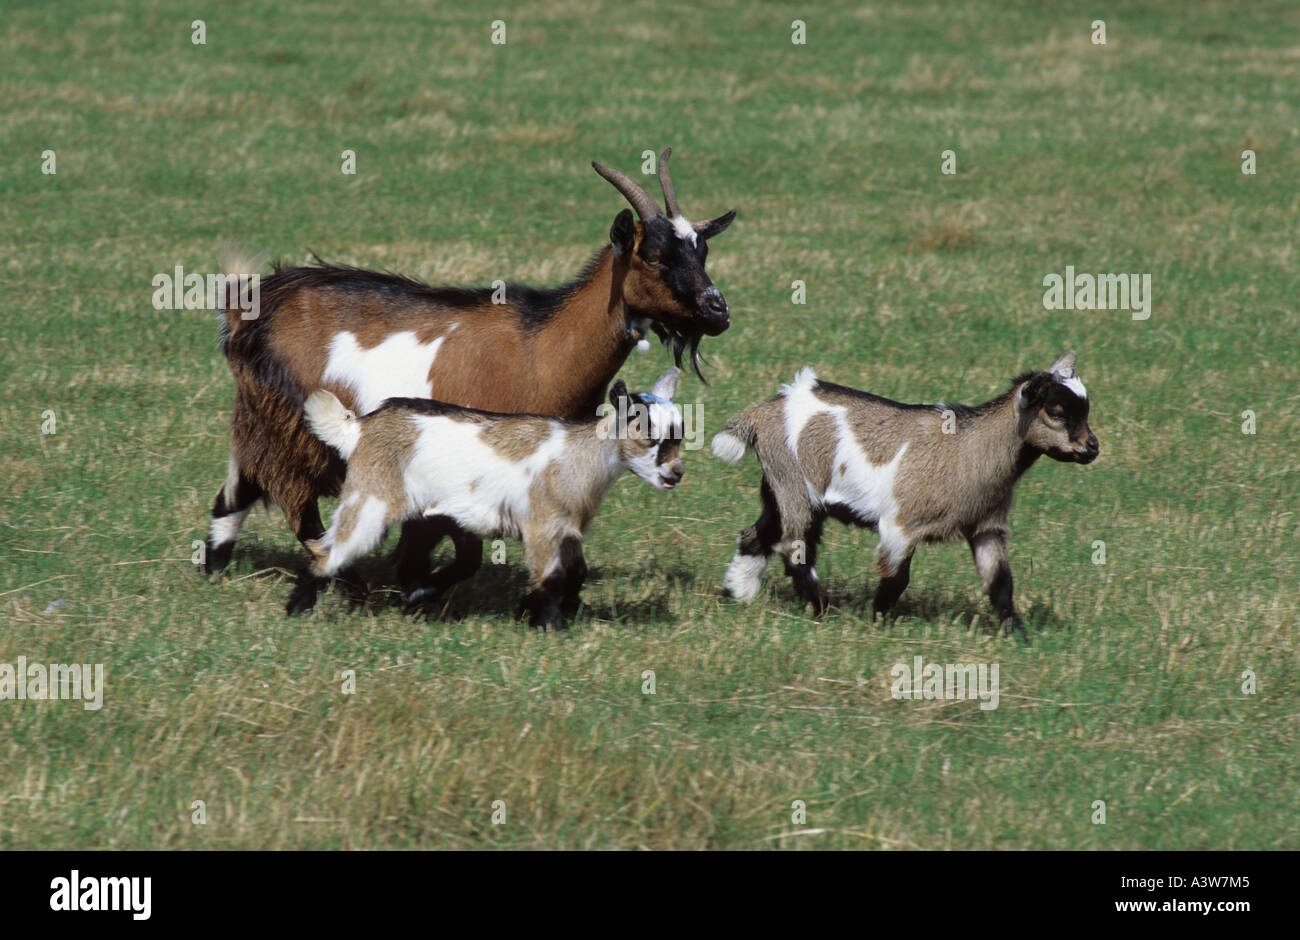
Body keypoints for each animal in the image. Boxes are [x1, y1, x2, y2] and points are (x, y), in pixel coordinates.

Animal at [202, 149, 733, 613]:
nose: (718, 311)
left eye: (703, 251)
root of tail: (254, 306)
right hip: (294, 430)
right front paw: (415, 589)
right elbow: (463, 553)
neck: (540, 347)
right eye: (655, 255)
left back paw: (215, 567)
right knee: (302, 513)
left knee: (236, 491)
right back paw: (347, 586)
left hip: (265, 420)